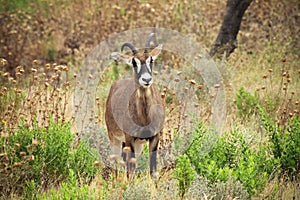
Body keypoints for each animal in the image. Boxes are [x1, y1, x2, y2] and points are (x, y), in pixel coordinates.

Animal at [105, 33, 165, 177]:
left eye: (151, 60)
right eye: (133, 62)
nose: (146, 79)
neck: (144, 117)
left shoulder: (155, 137)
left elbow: (153, 171)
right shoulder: (129, 138)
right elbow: (130, 170)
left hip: (138, 144)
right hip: (115, 139)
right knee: (117, 164)